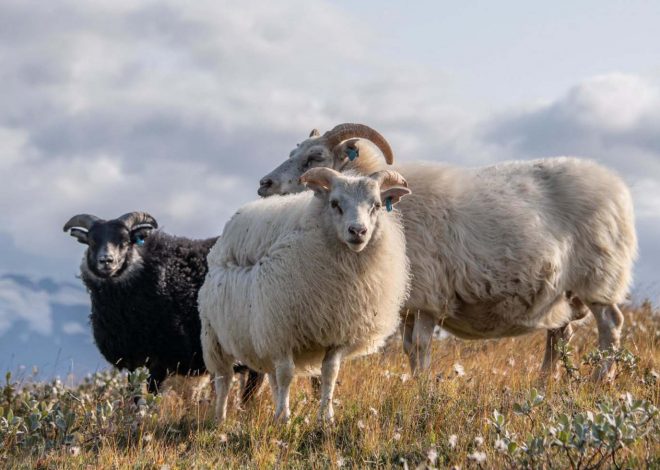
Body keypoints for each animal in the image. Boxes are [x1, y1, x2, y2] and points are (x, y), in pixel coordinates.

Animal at [62, 213, 262, 400]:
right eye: (92, 241)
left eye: (125, 242)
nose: (106, 260)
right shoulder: (133, 359)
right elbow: (135, 394)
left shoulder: (161, 359)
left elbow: (152, 393)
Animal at [199, 169, 410, 422]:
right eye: (334, 203)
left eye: (376, 205)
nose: (358, 231)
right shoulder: (281, 331)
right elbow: (287, 374)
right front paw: (284, 418)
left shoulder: (338, 331)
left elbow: (329, 373)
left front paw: (325, 417)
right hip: (215, 336)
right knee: (224, 379)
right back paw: (220, 419)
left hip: (261, 336)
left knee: (271, 376)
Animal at [256, 124, 636, 382]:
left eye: (315, 157)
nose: (264, 184)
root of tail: (616, 185)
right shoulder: (409, 302)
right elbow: (408, 348)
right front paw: (416, 384)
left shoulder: (427, 295)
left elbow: (420, 346)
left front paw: (423, 387)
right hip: (564, 292)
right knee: (559, 336)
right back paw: (546, 381)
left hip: (599, 276)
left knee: (611, 326)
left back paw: (601, 378)